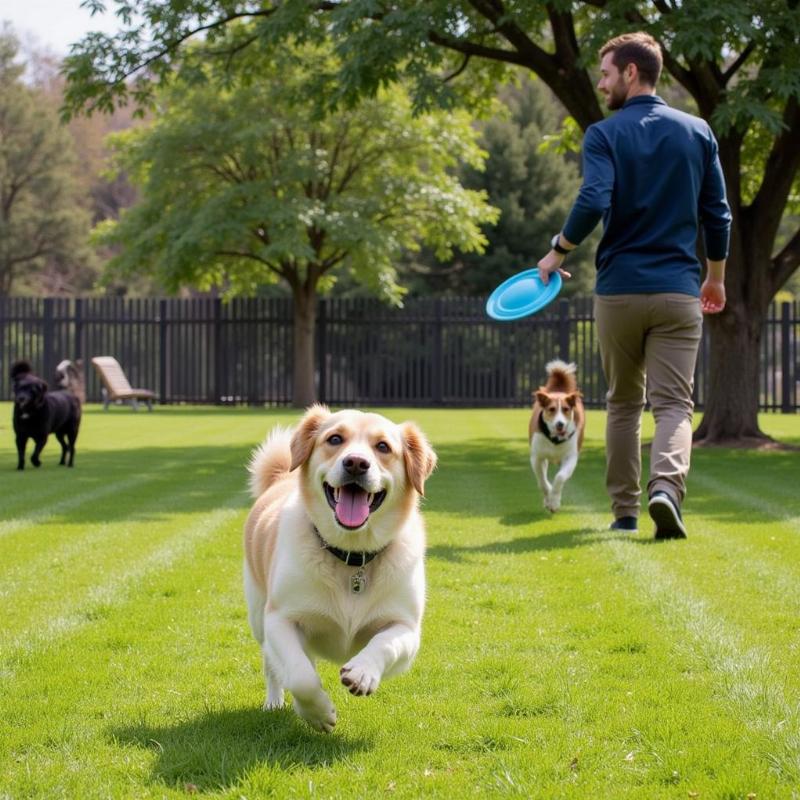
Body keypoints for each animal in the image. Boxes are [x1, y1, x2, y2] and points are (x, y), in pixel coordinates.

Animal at [244, 406, 438, 732]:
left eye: (383, 446)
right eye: (335, 439)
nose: (356, 463)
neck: (353, 556)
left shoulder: (406, 628)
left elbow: (384, 644)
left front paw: (363, 672)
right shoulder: (280, 619)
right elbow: (301, 676)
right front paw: (319, 713)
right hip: (259, 616)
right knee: (274, 665)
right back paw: (275, 702)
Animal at [528, 360, 584, 512]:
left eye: (566, 409)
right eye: (552, 409)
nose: (560, 424)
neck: (555, 439)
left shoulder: (570, 457)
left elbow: (560, 477)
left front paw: (554, 502)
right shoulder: (537, 457)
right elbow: (542, 481)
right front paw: (548, 499)